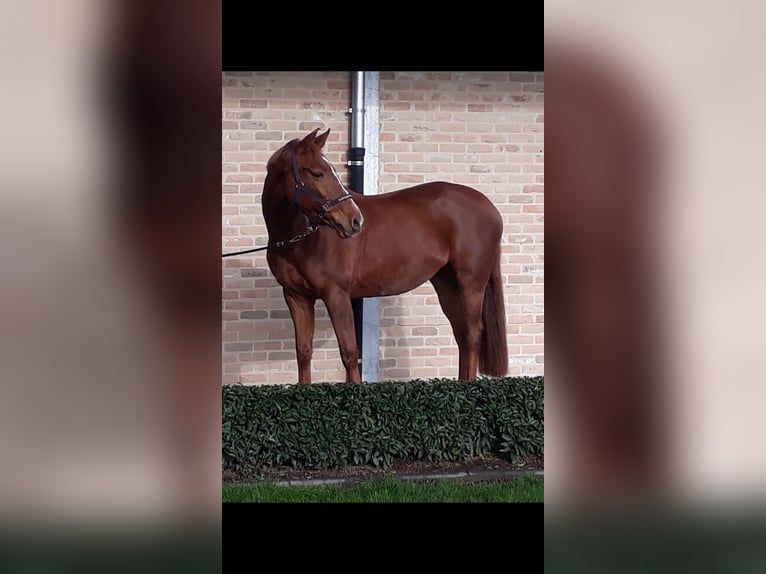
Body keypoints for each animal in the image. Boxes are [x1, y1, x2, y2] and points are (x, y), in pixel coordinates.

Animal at [264, 128, 510, 384]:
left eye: (328, 171)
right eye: (318, 173)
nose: (355, 221)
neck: (299, 240)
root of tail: (489, 207)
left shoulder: (336, 294)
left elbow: (350, 352)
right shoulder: (297, 297)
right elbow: (303, 352)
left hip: (472, 286)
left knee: (473, 335)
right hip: (448, 285)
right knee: (462, 336)